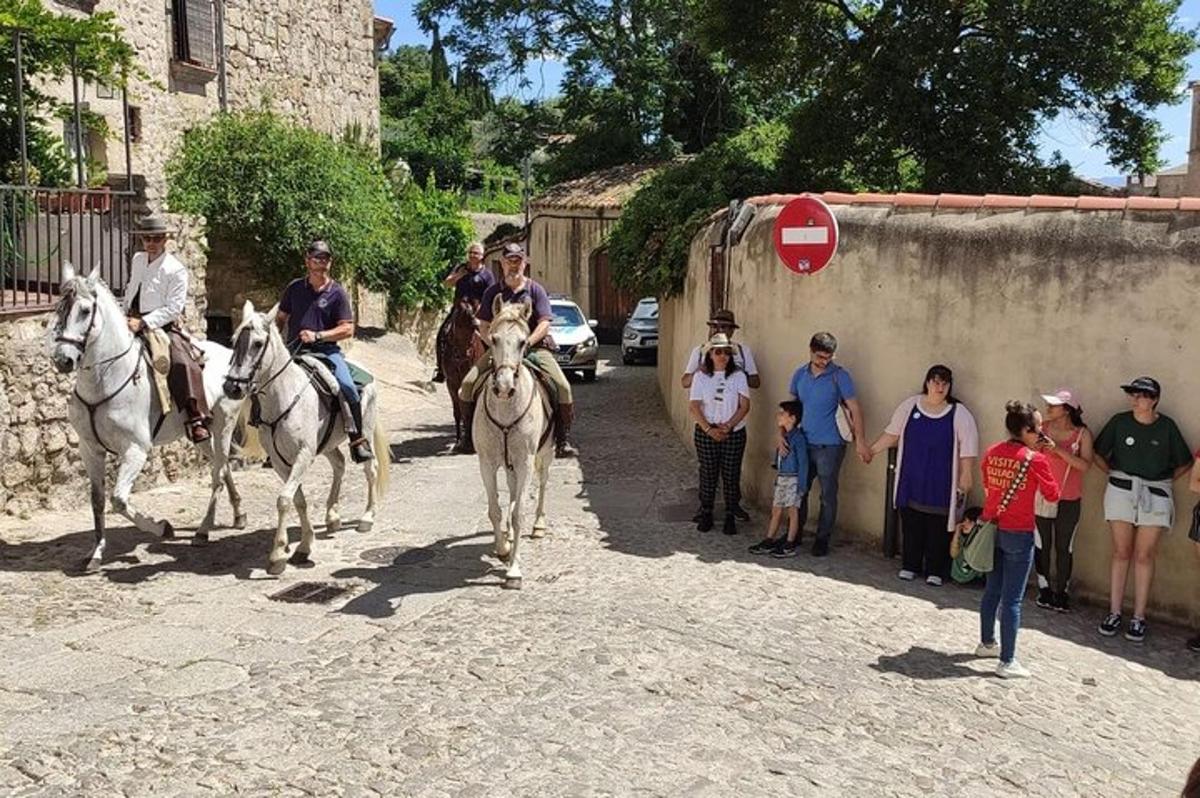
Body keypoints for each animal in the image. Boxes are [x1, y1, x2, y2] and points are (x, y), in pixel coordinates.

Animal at [46, 264, 248, 568]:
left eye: (84, 310)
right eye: (60, 308)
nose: (63, 360)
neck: (106, 380)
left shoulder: (136, 450)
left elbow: (118, 500)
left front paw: (162, 527)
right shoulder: (90, 449)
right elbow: (97, 500)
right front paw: (96, 552)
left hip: (224, 427)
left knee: (217, 474)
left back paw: (203, 530)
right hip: (201, 433)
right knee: (222, 468)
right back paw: (237, 515)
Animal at [224, 298, 388, 573]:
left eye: (257, 343)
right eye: (234, 339)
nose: (232, 386)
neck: (284, 398)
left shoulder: (303, 454)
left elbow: (283, 499)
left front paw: (278, 555)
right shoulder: (281, 462)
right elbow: (297, 500)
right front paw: (303, 545)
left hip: (363, 433)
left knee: (371, 469)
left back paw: (367, 517)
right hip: (328, 444)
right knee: (339, 465)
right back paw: (332, 517)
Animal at [475, 297, 554, 585]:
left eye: (522, 342)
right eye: (494, 339)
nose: (504, 387)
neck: (506, 410)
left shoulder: (525, 462)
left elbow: (520, 512)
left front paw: (514, 570)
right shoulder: (487, 463)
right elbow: (495, 509)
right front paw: (502, 548)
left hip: (545, 455)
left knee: (542, 485)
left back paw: (539, 525)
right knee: (510, 492)